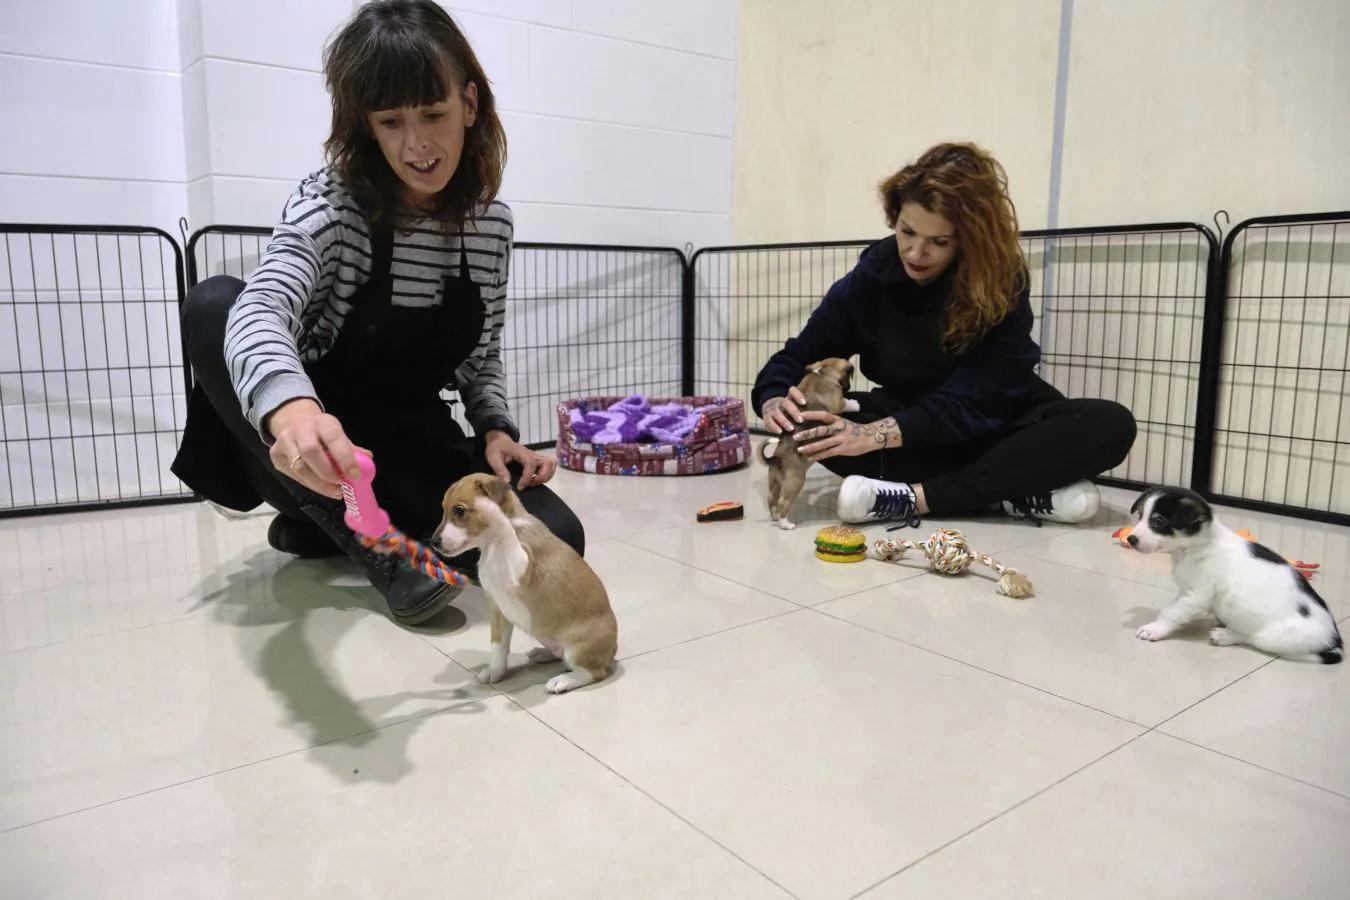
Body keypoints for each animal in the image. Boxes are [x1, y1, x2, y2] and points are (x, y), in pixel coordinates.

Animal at [434, 474, 618, 696]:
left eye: (459, 511)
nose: (434, 542)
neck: (491, 548)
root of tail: (613, 652)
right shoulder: (498, 611)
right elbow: (498, 646)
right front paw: (495, 671)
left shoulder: (522, 568)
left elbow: (502, 525)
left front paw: (493, 512)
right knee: (562, 656)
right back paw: (543, 654)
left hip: (578, 648)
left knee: (592, 672)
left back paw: (563, 680)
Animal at [761, 356, 864, 531]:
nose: (849, 387)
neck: (823, 372)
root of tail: (777, 458)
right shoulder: (838, 402)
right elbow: (845, 403)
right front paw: (855, 404)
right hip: (795, 482)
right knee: (783, 502)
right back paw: (786, 524)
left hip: (774, 482)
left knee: (771, 499)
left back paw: (775, 518)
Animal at [1128, 488, 1339, 666]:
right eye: (1140, 516)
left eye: (1158, 522)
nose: (1131, 539)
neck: (1198, 546)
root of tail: (1335, 641)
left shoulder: (1194, 596)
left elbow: (1170, 612)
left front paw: (1154, 629)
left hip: (1271, 638)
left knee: (1251, 637)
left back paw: (1225, 635)